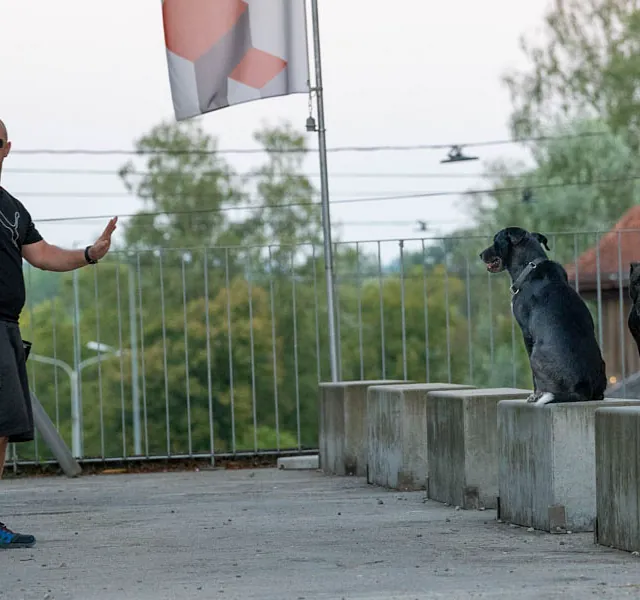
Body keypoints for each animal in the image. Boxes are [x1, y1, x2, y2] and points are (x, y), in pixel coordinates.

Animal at [480, 227, 604, 406]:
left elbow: (533, 379)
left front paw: (534, 395)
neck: (529, 267)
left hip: (535, 357)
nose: (480, 255)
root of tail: (582, 390)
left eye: (496, 240)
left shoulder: (526, 332)